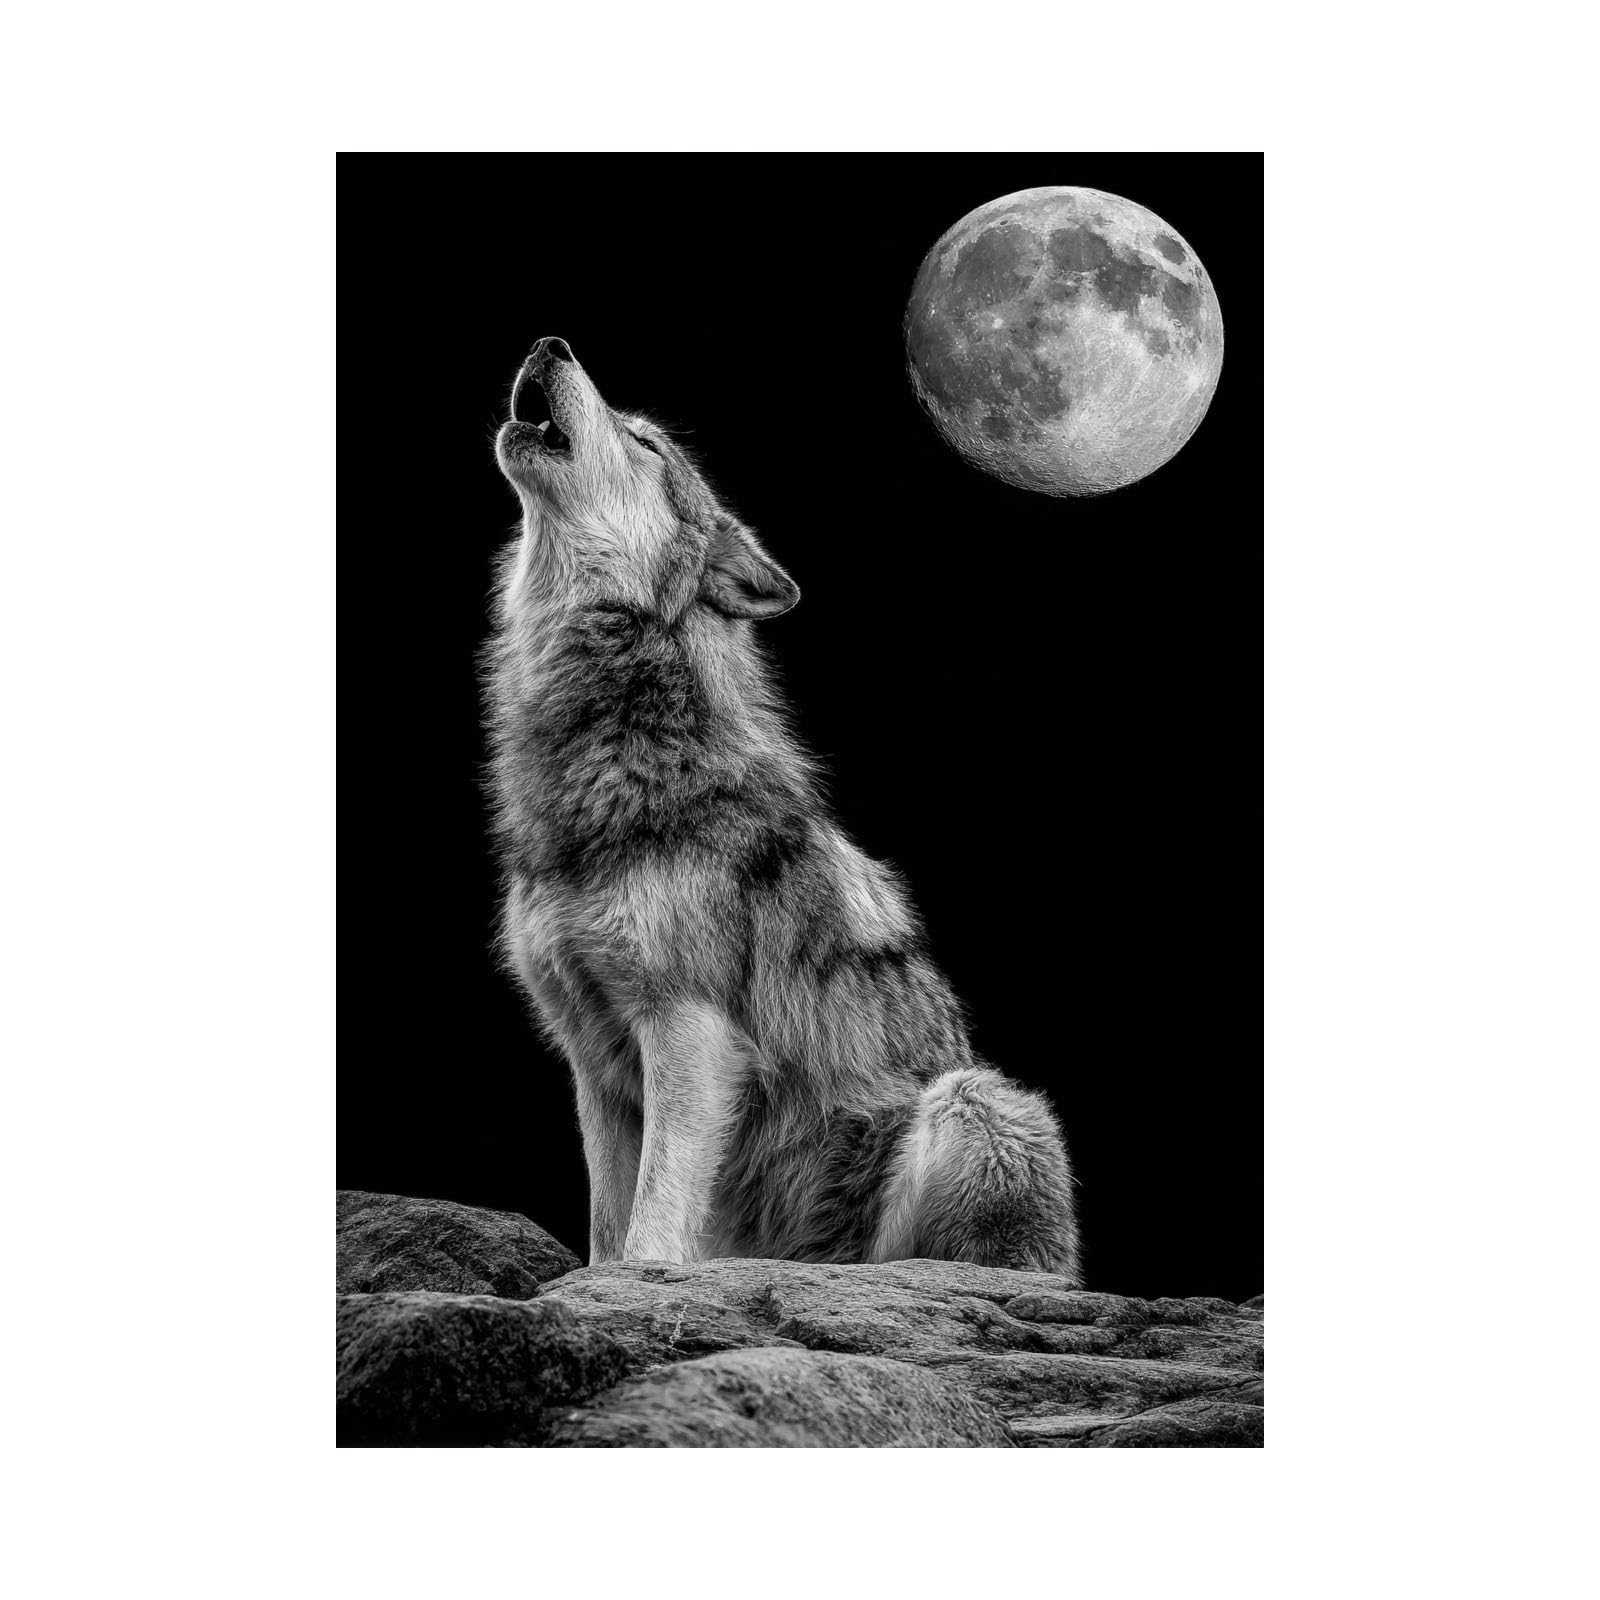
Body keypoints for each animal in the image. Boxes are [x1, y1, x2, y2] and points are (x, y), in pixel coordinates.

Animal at [484, 336, 1079, 1278]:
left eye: (644, 441)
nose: (552, 343)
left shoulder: (689, 1032)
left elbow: (651, 1219)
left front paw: (643, 1282)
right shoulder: (592, 1059)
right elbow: (607, 1226)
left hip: (971, 1101)